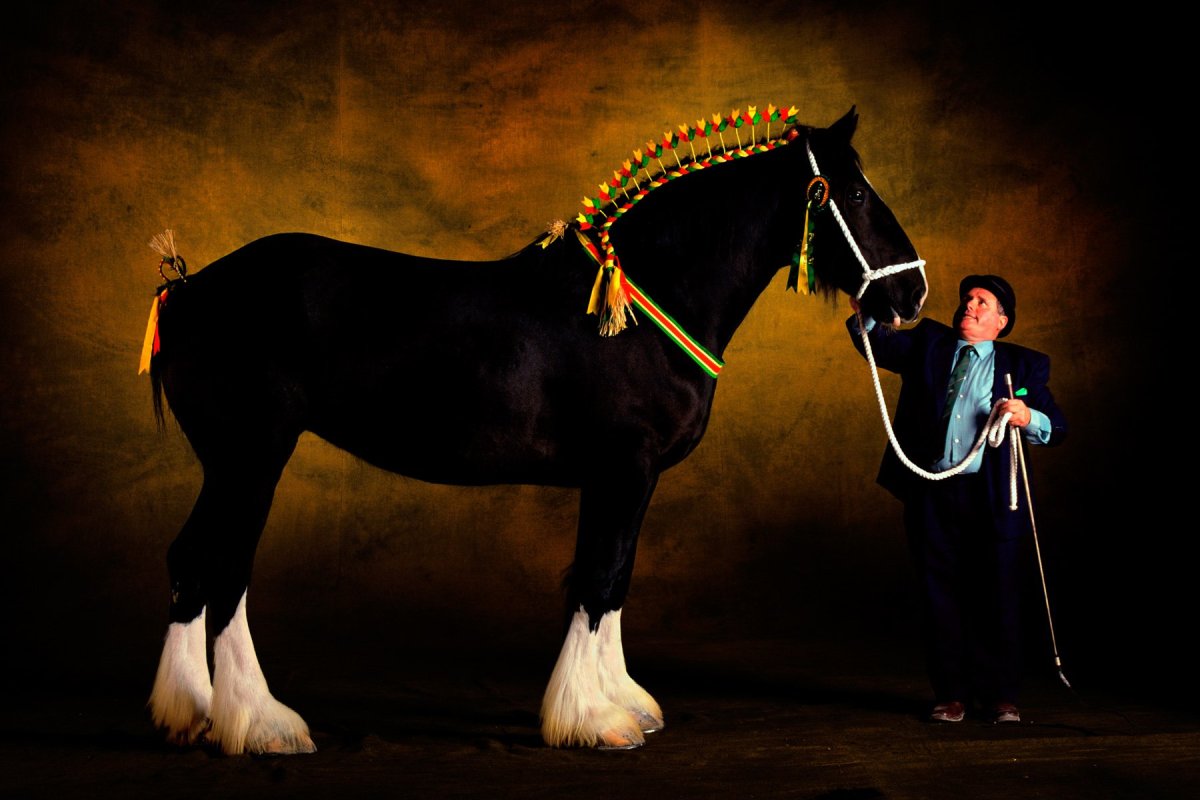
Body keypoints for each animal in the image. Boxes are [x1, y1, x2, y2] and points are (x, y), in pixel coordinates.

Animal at [143, 105, 927, 755]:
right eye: (856, 195)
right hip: (252, 458)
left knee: (189, 559)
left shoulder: (625, 482)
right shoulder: (623, 468)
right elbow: (598, 576)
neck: (648, 301)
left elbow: (614, 579)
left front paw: (622, 702)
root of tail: (187, 290)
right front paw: (592, 719)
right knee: (227, 570)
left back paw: (191, 715)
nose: (912, 291)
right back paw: (261, 724)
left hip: (226, 464)